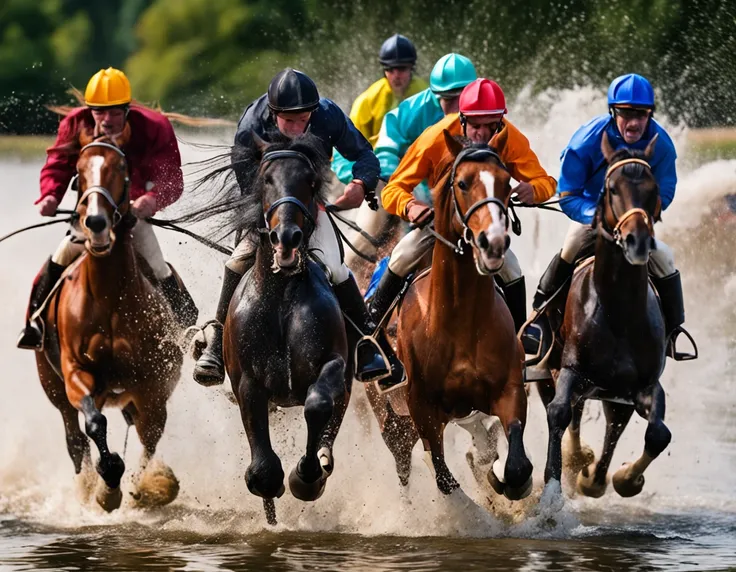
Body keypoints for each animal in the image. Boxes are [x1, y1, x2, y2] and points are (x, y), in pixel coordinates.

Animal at [34, 132, 184, 512]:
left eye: (122, 169)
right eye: (79, 172)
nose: (97, 223)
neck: (108, 298)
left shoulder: (152, 383)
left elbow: (150, 434)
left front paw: (142, 487)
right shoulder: (76, 372)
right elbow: (94, 424)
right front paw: (108, 484)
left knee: (143, 431)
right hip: (53, 386)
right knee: (75, 438)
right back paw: (89, 487)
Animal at [220, 132, 352, 524]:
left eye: (310, 181)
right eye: (266, 179)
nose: (287, 237)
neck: (281, 299)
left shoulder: (334, 362)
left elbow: (319, 404)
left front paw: (306, 477)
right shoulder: (247, 380)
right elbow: (263, 470)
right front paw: (270, 487)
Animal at [366, 132, 528, 498]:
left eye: (506, 182)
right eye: (463, 183)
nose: (493, 242)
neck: (460, 322)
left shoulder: (508, 391)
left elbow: (516, 466)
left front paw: (499, 475)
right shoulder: (423, 409)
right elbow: (444, 478)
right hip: (390, 417)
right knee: (403, 463)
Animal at [540, 133, 672, 496]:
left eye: (654, 188)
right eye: (612, 188)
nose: (637, 241)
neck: (619, 311)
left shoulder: (644, 384)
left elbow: (659, 433)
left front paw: (627, 478)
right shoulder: (571, 370)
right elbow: (559, 413)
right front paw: (556, 482)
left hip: (614, 395)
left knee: (614, 425)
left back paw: (594, 477)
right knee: (570, 411)